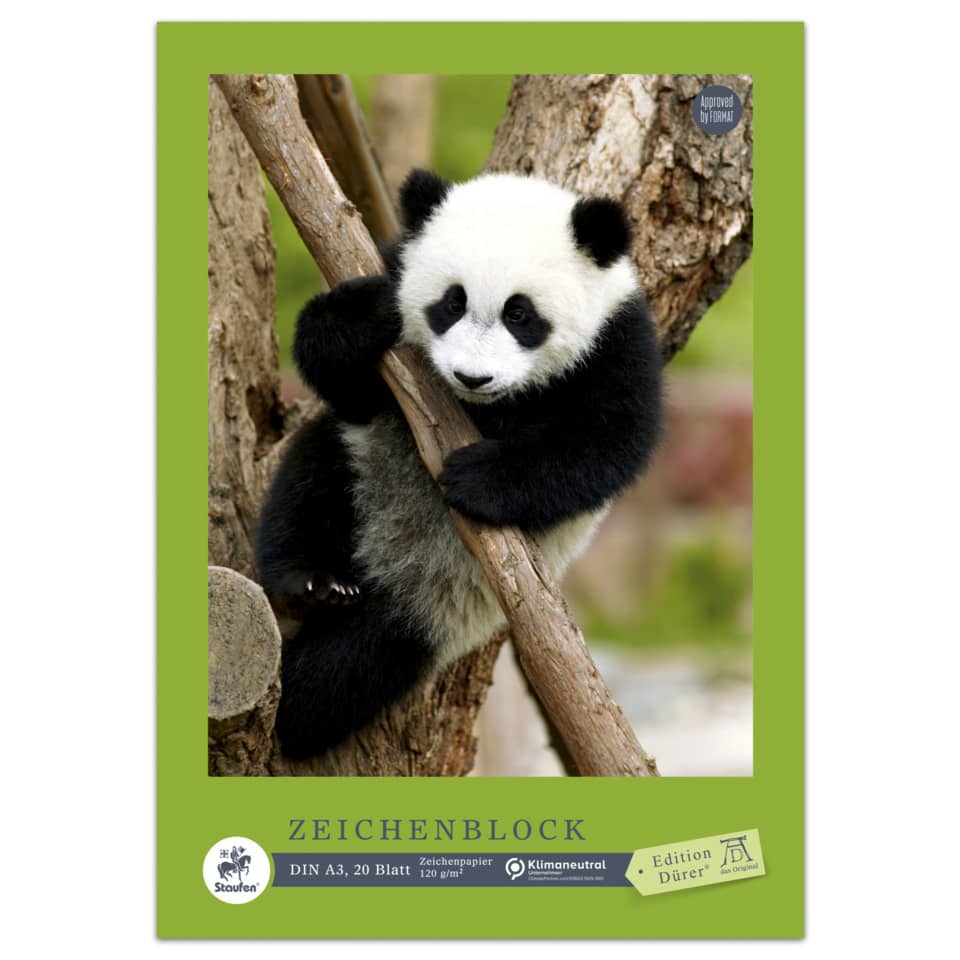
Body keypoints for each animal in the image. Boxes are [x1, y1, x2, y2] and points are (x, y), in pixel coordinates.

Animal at [256, 169, 663, 759]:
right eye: (451, 303)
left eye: (520, 314)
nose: (473, 377)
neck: (487, 409)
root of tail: (383, 567)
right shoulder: (390, 286)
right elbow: (342, 375)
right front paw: (361, 316)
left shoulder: (617, 340)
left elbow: (607, 441)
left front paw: (477, 478)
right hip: (359, 460)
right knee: (308, 484)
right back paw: (311, 583)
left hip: (447, 607)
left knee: (368, 657)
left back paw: (300, 710)